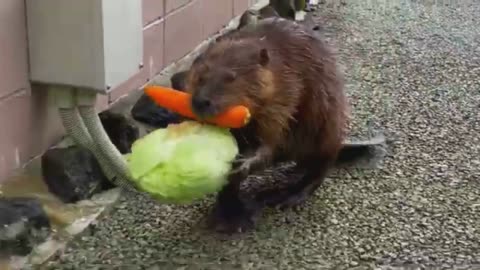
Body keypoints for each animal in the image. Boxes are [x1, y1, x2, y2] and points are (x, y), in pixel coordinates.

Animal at [185, 16, 348, 232]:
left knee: (319, 167)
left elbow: (270, 140)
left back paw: (286, 196)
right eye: (200, 76)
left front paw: (243, 162)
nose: (201, 101)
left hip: (328, 125)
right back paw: (232, 213)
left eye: (231, 77)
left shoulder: (286, 91)